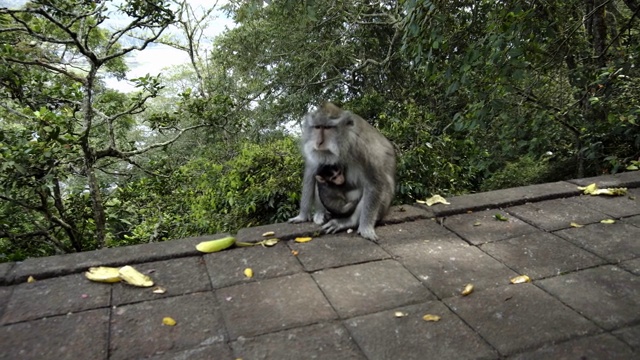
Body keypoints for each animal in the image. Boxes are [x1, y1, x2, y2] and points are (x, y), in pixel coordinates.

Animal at [288, 101, 396, 242]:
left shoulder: (363, 148)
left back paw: (348, 222)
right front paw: (302, 216)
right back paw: (321, 213)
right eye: (317, 127)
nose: (319, 142)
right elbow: (311, 171)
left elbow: (375, 182)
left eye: (328, 128)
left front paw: (366, 228)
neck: (344, 143)